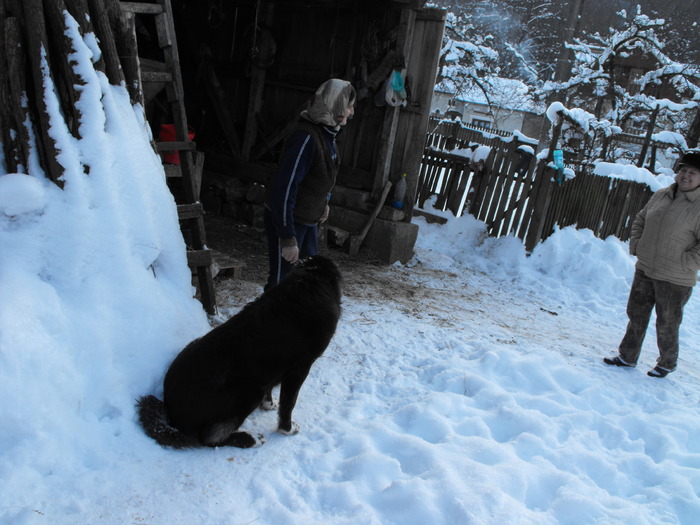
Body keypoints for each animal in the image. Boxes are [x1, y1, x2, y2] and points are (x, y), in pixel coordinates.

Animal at [137, 254, 342, 446]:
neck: (310, 276)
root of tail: (172, 413)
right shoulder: (299, 369)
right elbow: (288, 404)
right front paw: (287, 429)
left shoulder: (271, 369)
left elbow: (272, 390)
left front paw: (269, 404)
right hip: (250, 390)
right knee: (210, 438)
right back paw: (250, 439)